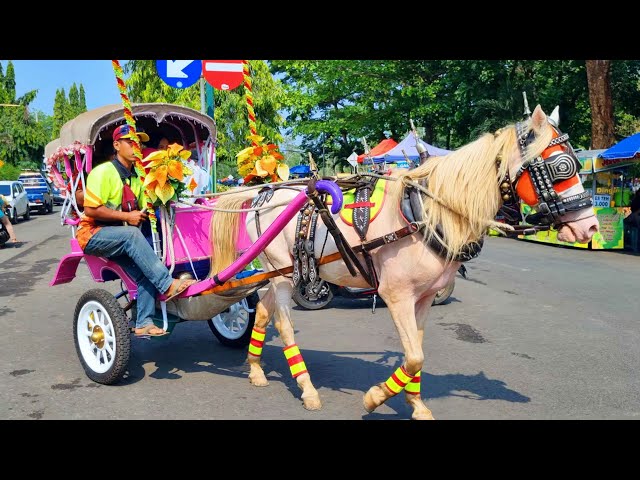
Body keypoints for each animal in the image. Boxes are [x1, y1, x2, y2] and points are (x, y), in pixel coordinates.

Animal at [209, 106, 600, 420]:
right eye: (561, 166)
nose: (591, 227)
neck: (428, 214)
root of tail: (262, 193)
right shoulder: (396, 296)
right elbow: (414, 357)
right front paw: (375, 397)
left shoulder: (424, 298)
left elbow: (417, 354)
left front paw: (416, 405)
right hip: (283, 274)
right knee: (285, 324)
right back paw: (307, 388)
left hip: (282, 273)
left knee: (263, 310)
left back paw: (256, 369)